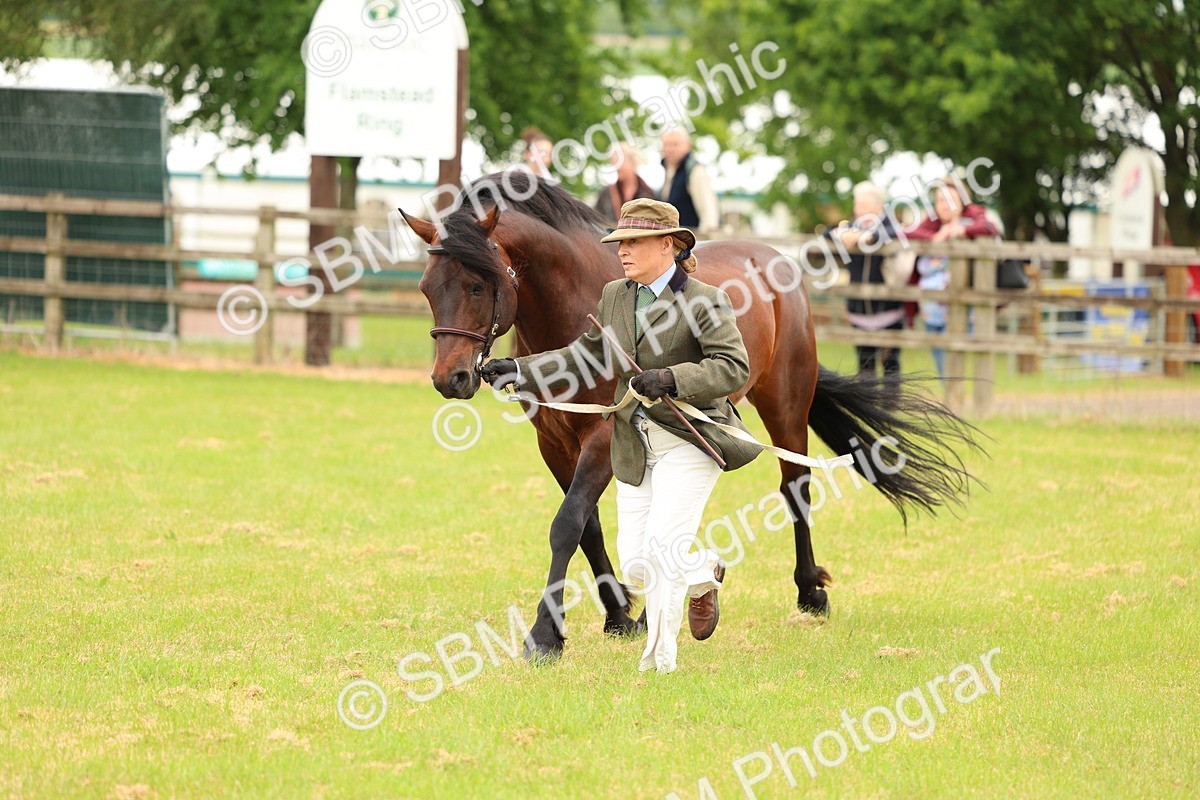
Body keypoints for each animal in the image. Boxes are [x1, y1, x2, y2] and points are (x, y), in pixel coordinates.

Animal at [403, 170, 980, 660]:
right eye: (428, 288)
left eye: (478, 285)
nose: (451, 379)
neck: (573, 305)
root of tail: (775, 261)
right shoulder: (554, 440)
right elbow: (588, 529)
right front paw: (619, 615)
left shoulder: (601, 436)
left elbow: (566, 525)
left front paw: (545, 636)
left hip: (785, 403)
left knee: (795, 486)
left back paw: (810, 592)